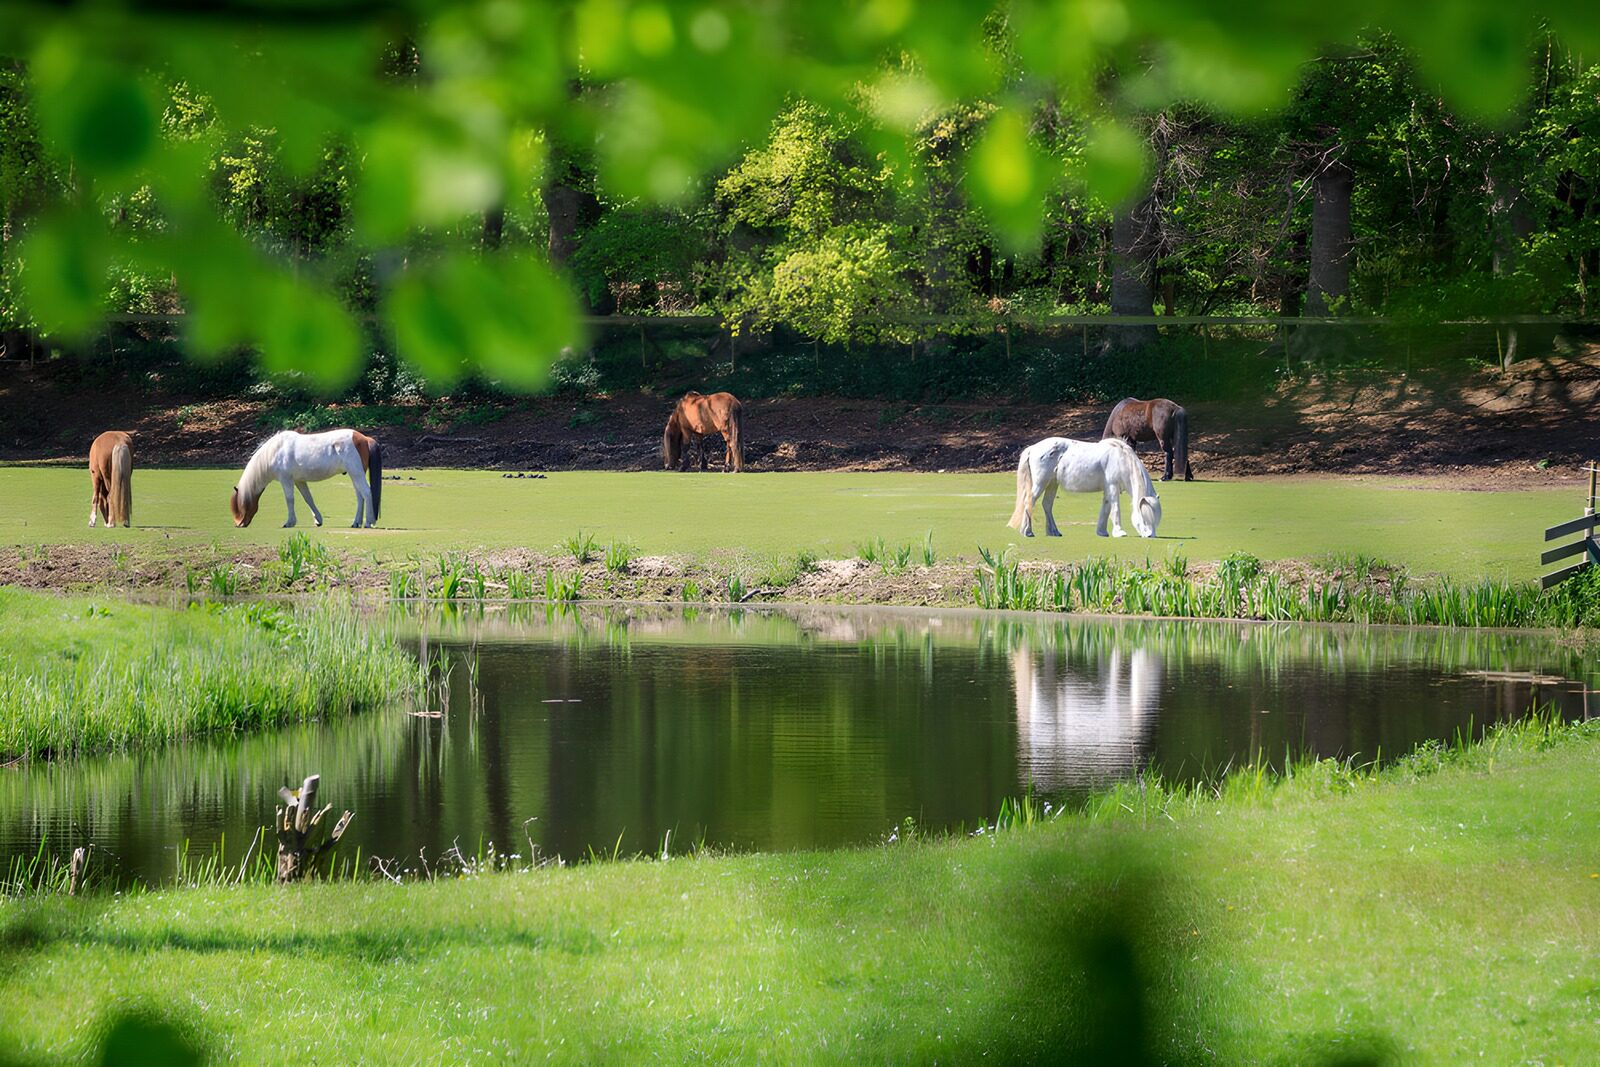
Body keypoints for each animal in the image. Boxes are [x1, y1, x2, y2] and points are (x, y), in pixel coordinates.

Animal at [231, 428, 383, 528]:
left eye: (240, 507)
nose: (239, 524)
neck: (276, 452)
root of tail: (364, 438)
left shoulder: (286, 480)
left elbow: (290, 500)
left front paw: (290, 522)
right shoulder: (299, 481)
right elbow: (308, 498)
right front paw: (318, 520)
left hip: (356, 473)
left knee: (366, 493)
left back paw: (369, 522)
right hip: (354, 474)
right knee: (360, 496)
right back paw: (356, 522)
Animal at [1007, 436, 1161, 539]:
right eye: (1145, 518)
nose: (1150, 536)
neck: (1121, 459)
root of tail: (1033, 448)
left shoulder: (1108, 490)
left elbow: (1106, 509)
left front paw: (1102, 532)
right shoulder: (1113, 487)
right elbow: (1115, 508)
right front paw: (1119, 532)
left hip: (1052, 484)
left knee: (1047, 505)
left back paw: (1053, 532)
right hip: (1041, 483)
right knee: (1029, 502)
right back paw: (1027, 531)